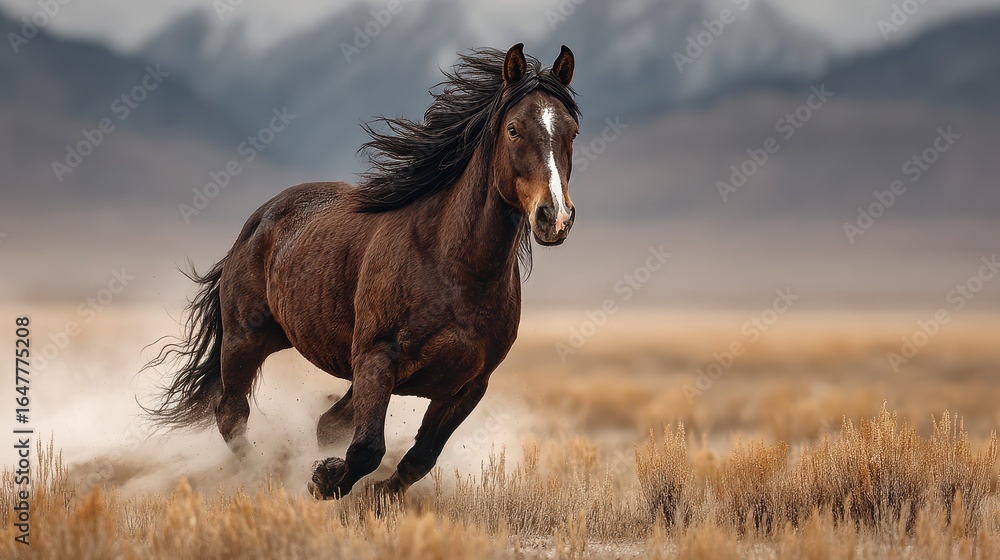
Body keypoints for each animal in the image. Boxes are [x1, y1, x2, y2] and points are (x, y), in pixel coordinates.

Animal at [145, 43, 580, 500]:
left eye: (571, 131)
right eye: (514, 129)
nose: (554, 217)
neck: (457, 269)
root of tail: (258, 220)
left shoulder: (468, 385)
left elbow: (418, 458)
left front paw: (369, 493)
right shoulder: (377, 359)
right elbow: (367, 449)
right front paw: (323, 479)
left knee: (322, 422)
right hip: (245, 338)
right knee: (232, 413)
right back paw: (266, 473)